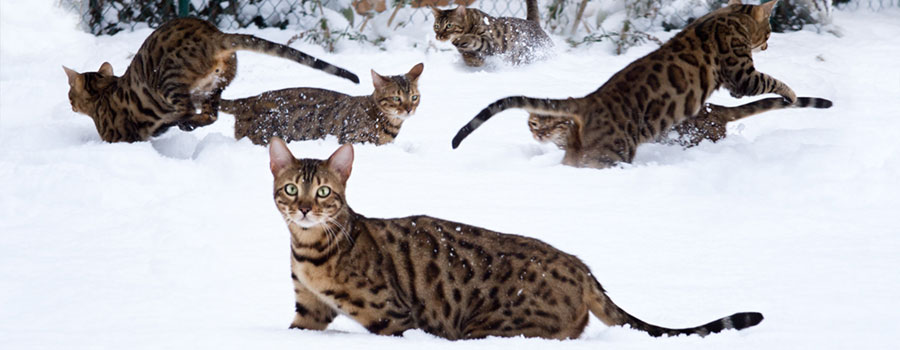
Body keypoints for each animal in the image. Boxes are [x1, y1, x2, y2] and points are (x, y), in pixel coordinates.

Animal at [63, 17, 360, 144]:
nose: (70, 106)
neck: (104, 92)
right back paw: (184, 125)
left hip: (169, 82)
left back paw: (177, 121)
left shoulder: (117, 136)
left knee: (185, 110)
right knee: (209, 115)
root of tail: (214, 35)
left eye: (69, 95)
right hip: (213, 88)